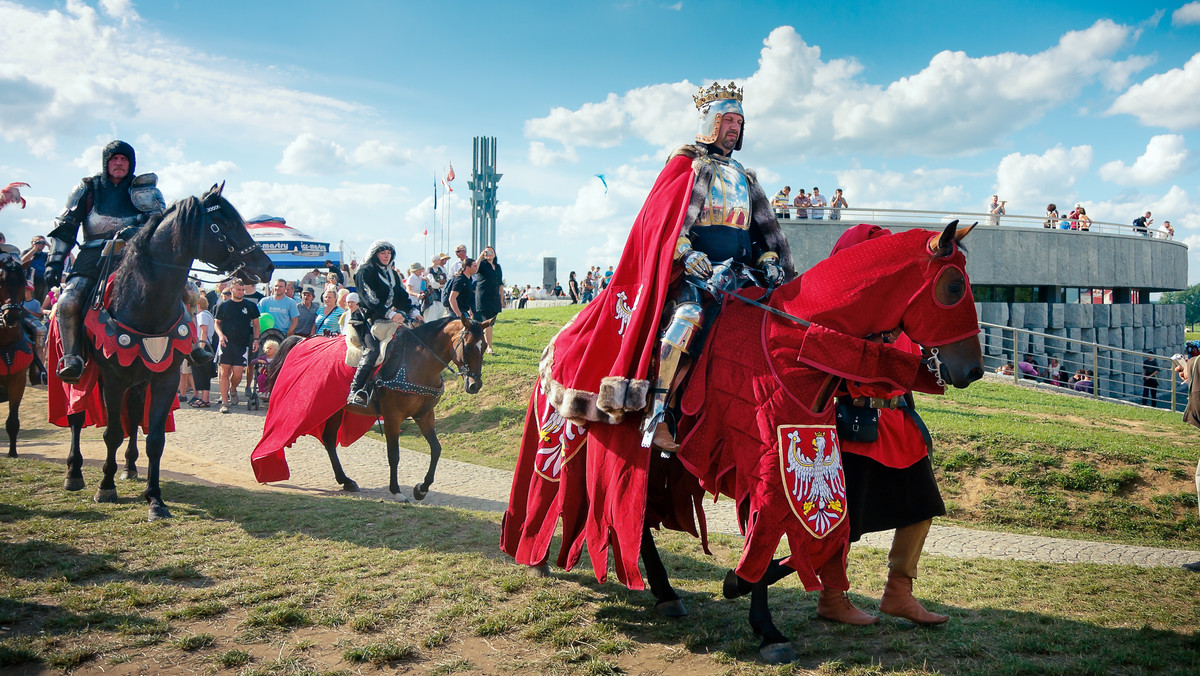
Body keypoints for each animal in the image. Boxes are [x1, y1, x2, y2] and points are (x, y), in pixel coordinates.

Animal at [62, 182, 273, 521]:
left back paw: (130, 467)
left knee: (134, 416)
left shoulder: (166, 378)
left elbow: (155, 439)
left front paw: (155, 498)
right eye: (224, 224)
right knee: (77, 416)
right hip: (83, 374)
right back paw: (74, 473)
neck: (144, 303)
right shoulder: (113, 379)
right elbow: (111, 433)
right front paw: (105, 487)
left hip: (139, 380)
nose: (267, 266)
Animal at [260, 314, 489, 499]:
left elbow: (436, 449)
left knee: (329, 440)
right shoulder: (392, 416)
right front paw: (396, 491)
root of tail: (303, 340)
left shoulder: (424, 415)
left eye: (485, 347)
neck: (416, 362)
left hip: (335, 410)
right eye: (468, 347)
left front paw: (421, 489)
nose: (475, 385)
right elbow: (394, 454)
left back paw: (346, 481)